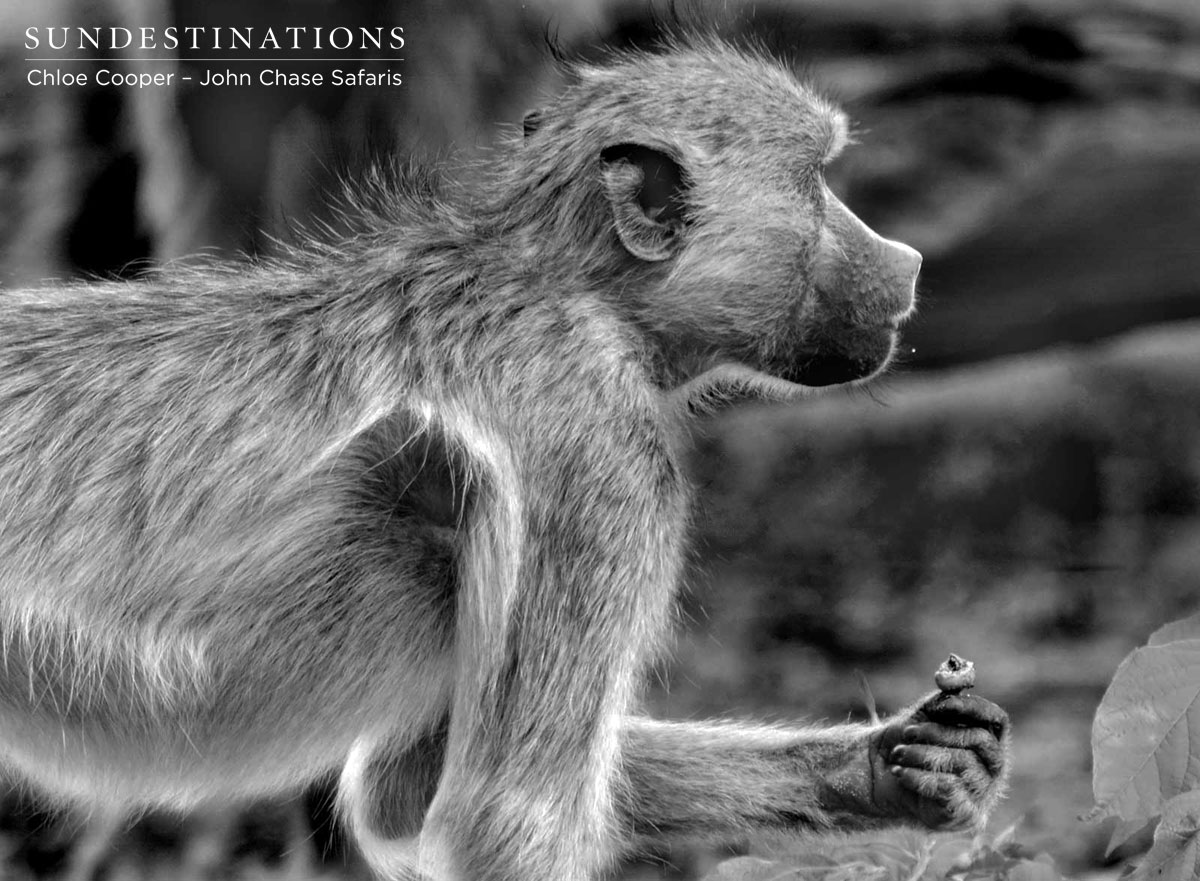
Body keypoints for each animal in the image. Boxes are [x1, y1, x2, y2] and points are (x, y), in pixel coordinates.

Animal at [0, 34, 1009, 881]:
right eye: (815, 182)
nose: (909, 260)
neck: (571, 291)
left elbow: (405, 792)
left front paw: (895, 765)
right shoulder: (606, 466)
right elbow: (507, 816)